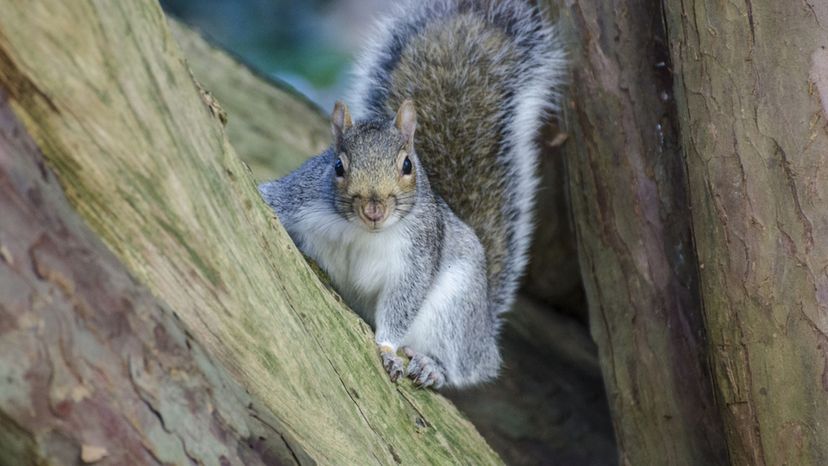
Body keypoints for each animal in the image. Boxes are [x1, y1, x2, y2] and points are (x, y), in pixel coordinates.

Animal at [262, 0, 568, 388]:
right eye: (338, 166)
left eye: (408, 165)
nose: (374, 209)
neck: (361, 232)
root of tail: (484, 332)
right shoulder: (298, 197)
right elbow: (269, 198)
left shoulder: (416, 258)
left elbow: (402, 304)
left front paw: (386, 349)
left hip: (456, 309)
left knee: (459, 365)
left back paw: (431, 365)